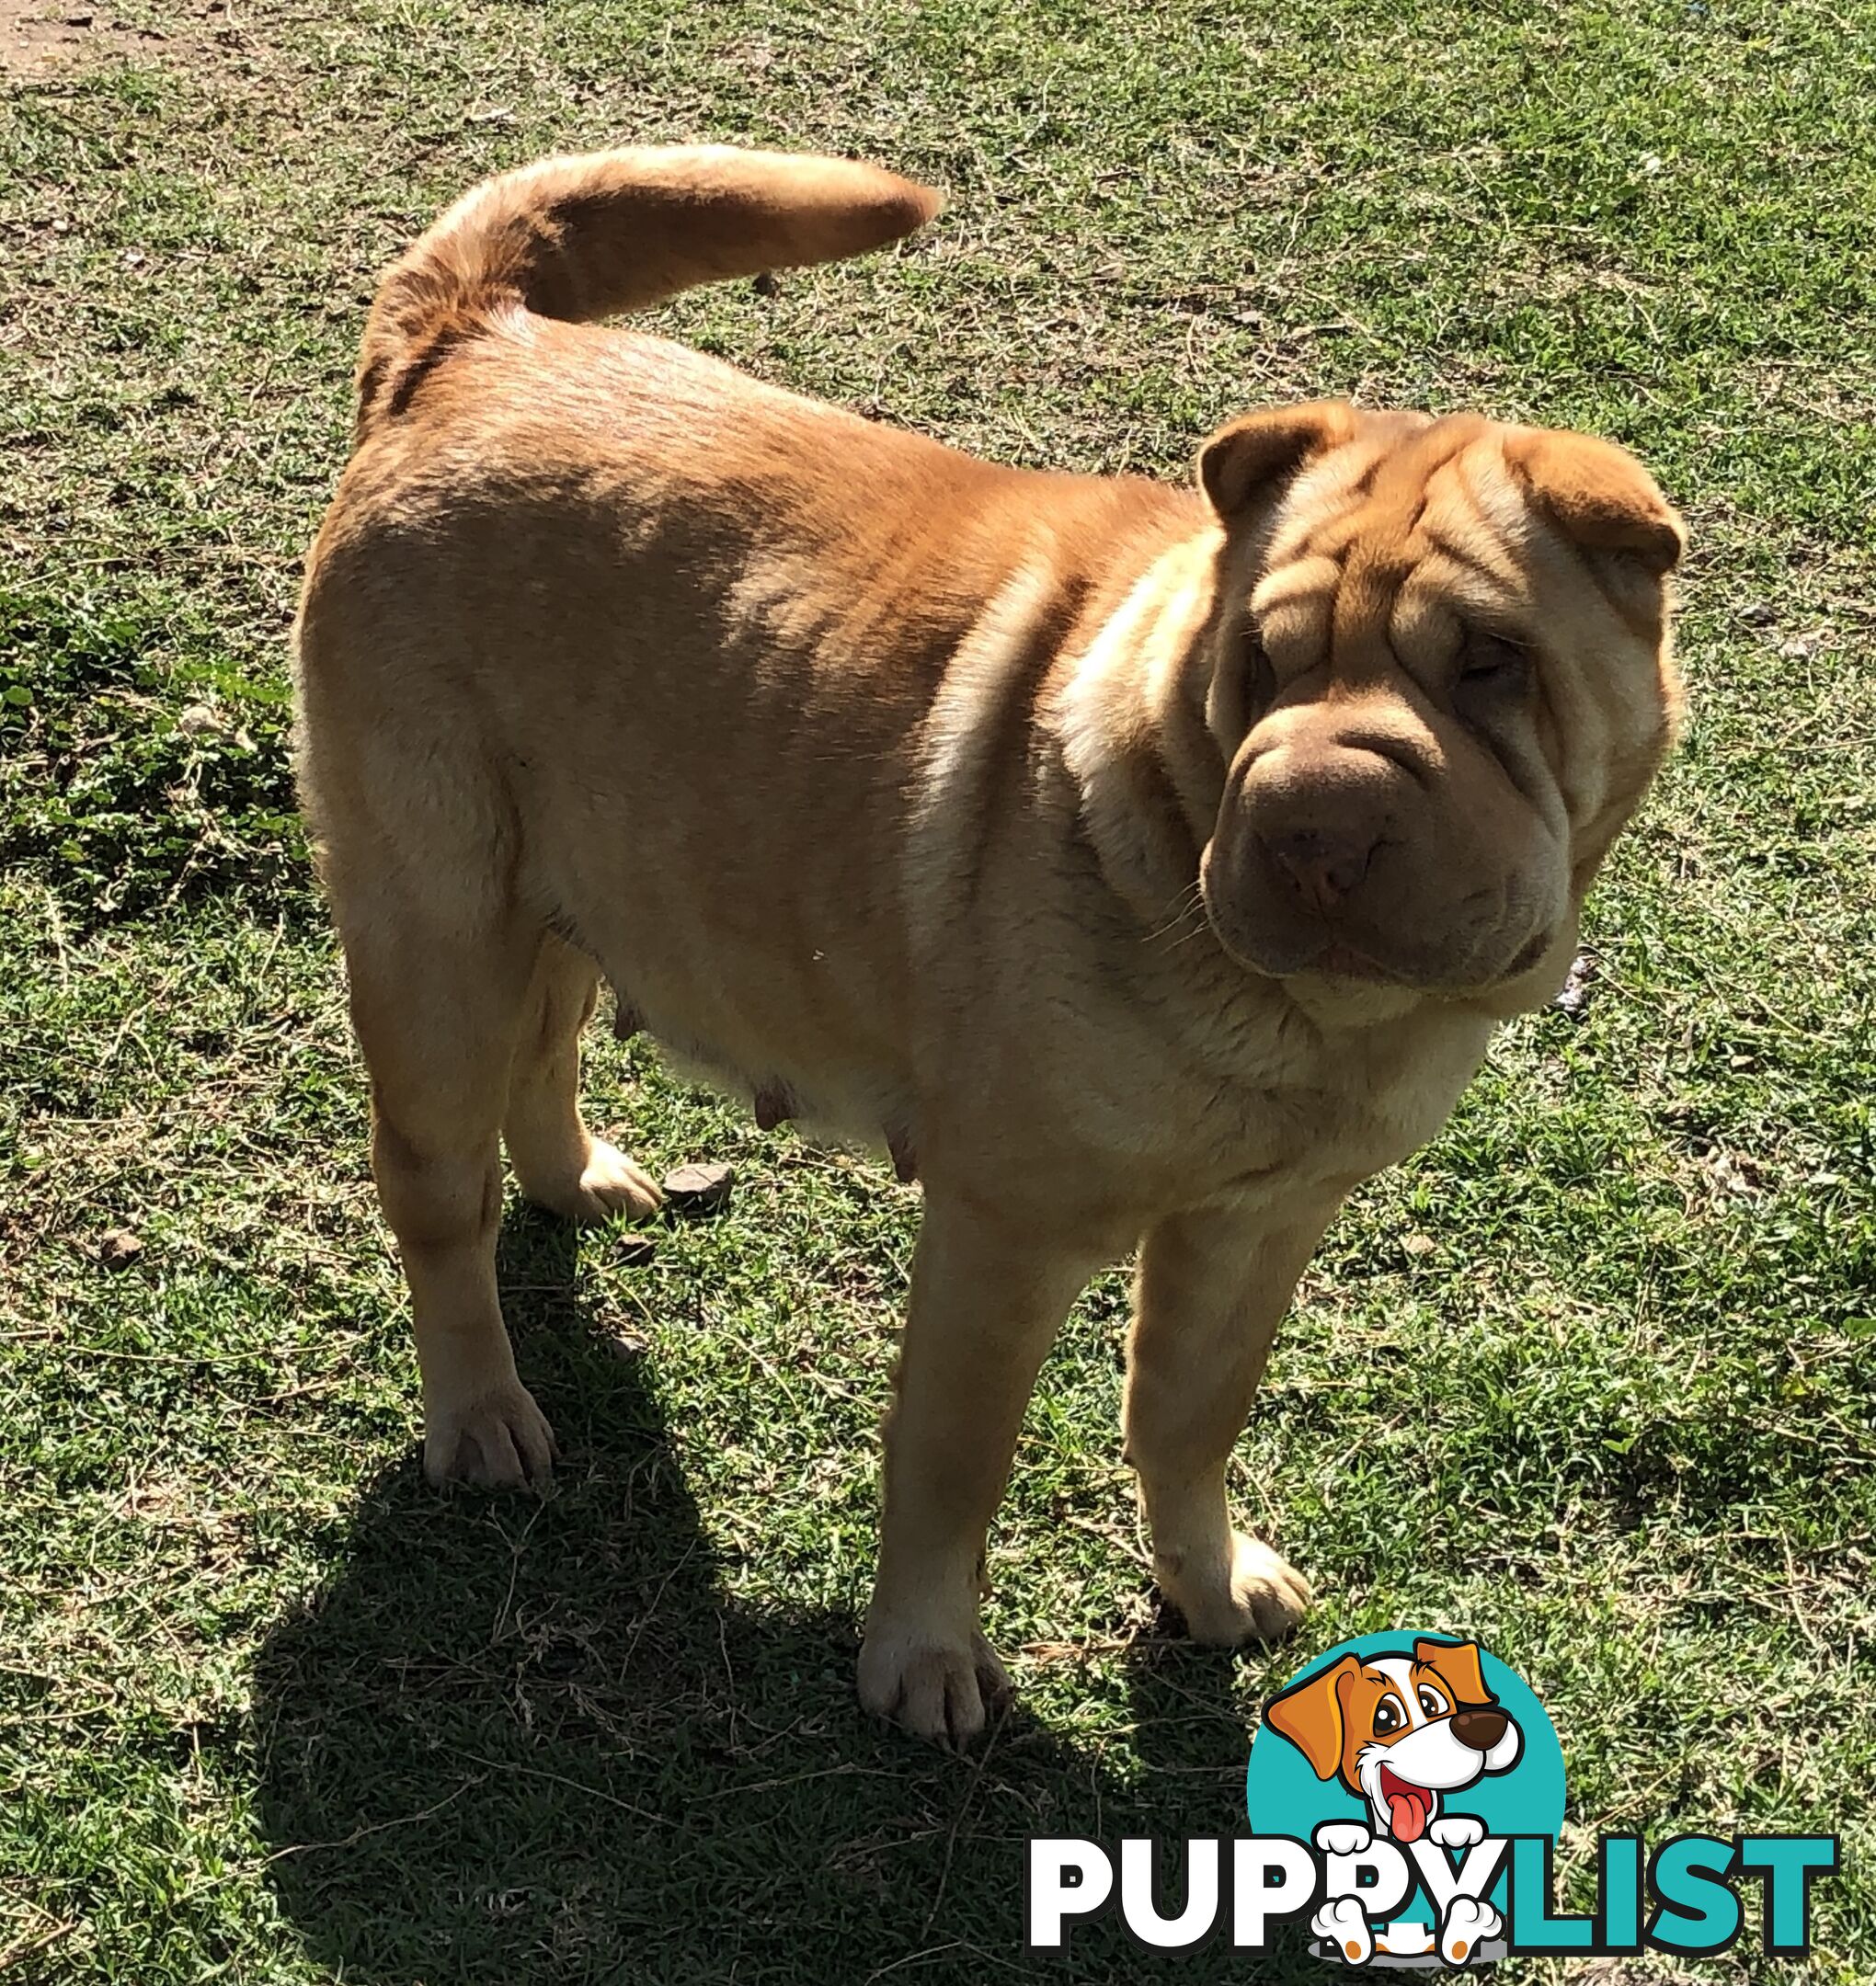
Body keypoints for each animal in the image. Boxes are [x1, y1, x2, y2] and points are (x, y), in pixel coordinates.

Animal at [293, 146, 1685, 1747]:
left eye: (1492, 663)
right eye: (1262, 664)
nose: (1311, 824)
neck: (1311, 1017)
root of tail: (472, 339)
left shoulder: (1260, 1223)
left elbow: (1188, 1417)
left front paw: (1205, 1583)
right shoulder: (1003, 1230)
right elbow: (954, 1459)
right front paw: (925, 1661)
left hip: (589, 871)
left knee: (551, 1045)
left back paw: (579, 1179)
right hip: (437, 928)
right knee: (435, 1193)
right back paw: (481, 1413)